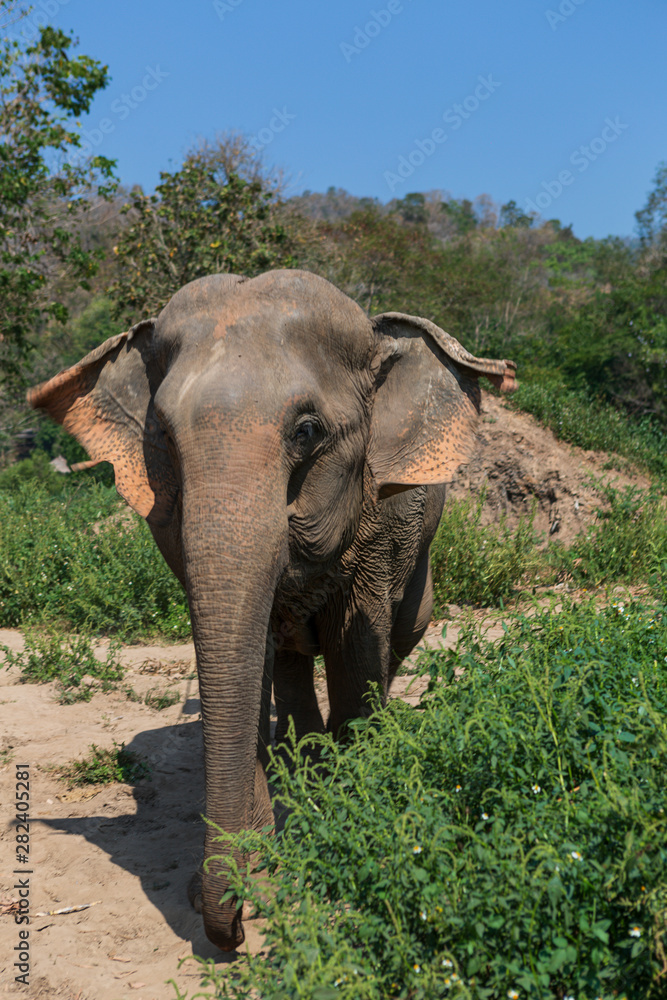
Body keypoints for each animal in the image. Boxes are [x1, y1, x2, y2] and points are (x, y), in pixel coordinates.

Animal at [29, 269, 516, 952]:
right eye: (162, 437)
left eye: (306, 431)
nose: (236, 923)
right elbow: (248, 650)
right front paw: (263, 855)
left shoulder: (383, 523)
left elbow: (355, 642)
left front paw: (347, 796)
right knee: (288, 653)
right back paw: (301, 757)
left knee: (400, 632)